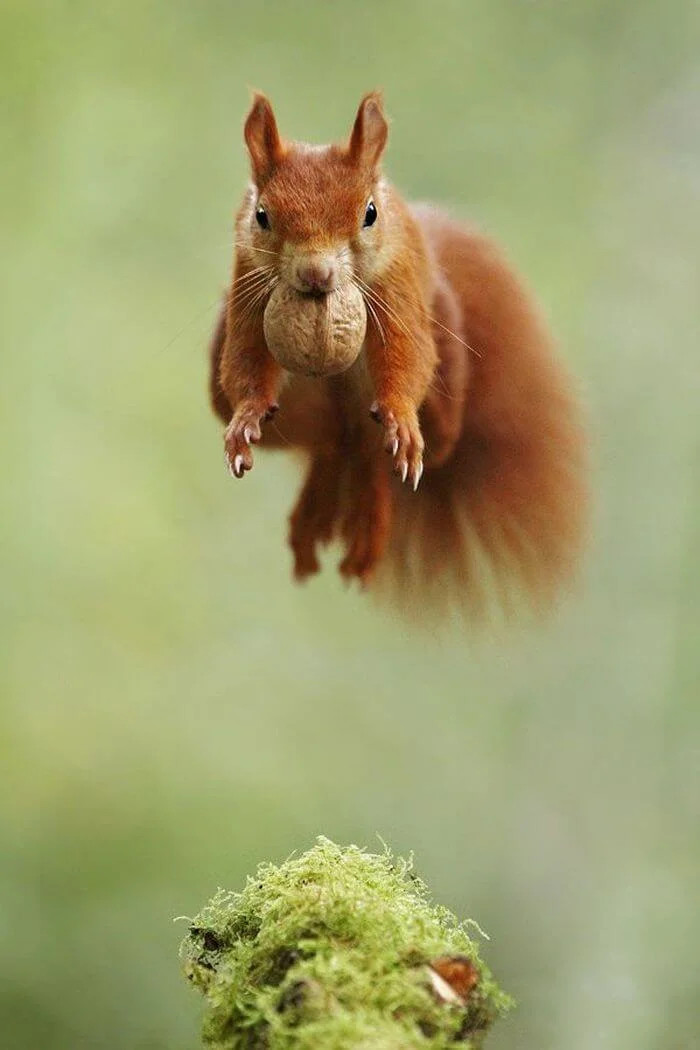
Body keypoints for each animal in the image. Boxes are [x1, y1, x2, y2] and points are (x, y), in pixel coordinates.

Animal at [210, 94, 587, 617]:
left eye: (369, 213)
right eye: (262, 215)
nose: (315, 275)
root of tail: (349, 433)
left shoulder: (398, 280)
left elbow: (408, 354)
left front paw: (402, 416)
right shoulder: (247, 283)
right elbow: (246, 357)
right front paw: (245, 417)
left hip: (445, 389)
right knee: (328, 449)